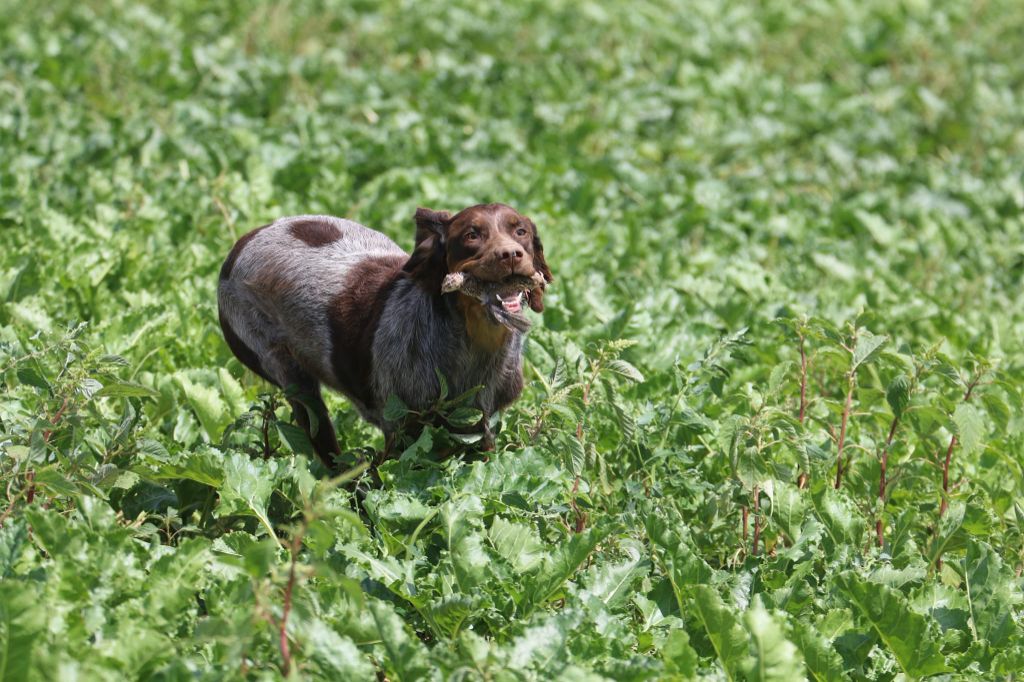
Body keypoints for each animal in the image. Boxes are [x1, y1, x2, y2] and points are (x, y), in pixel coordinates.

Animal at [216, 204, 552, 464]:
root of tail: (243, 241)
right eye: (472, 235)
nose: (510, 254)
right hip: (289, 376)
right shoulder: (402, 429)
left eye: (520, 231)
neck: (474, 344)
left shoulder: (480, 427)